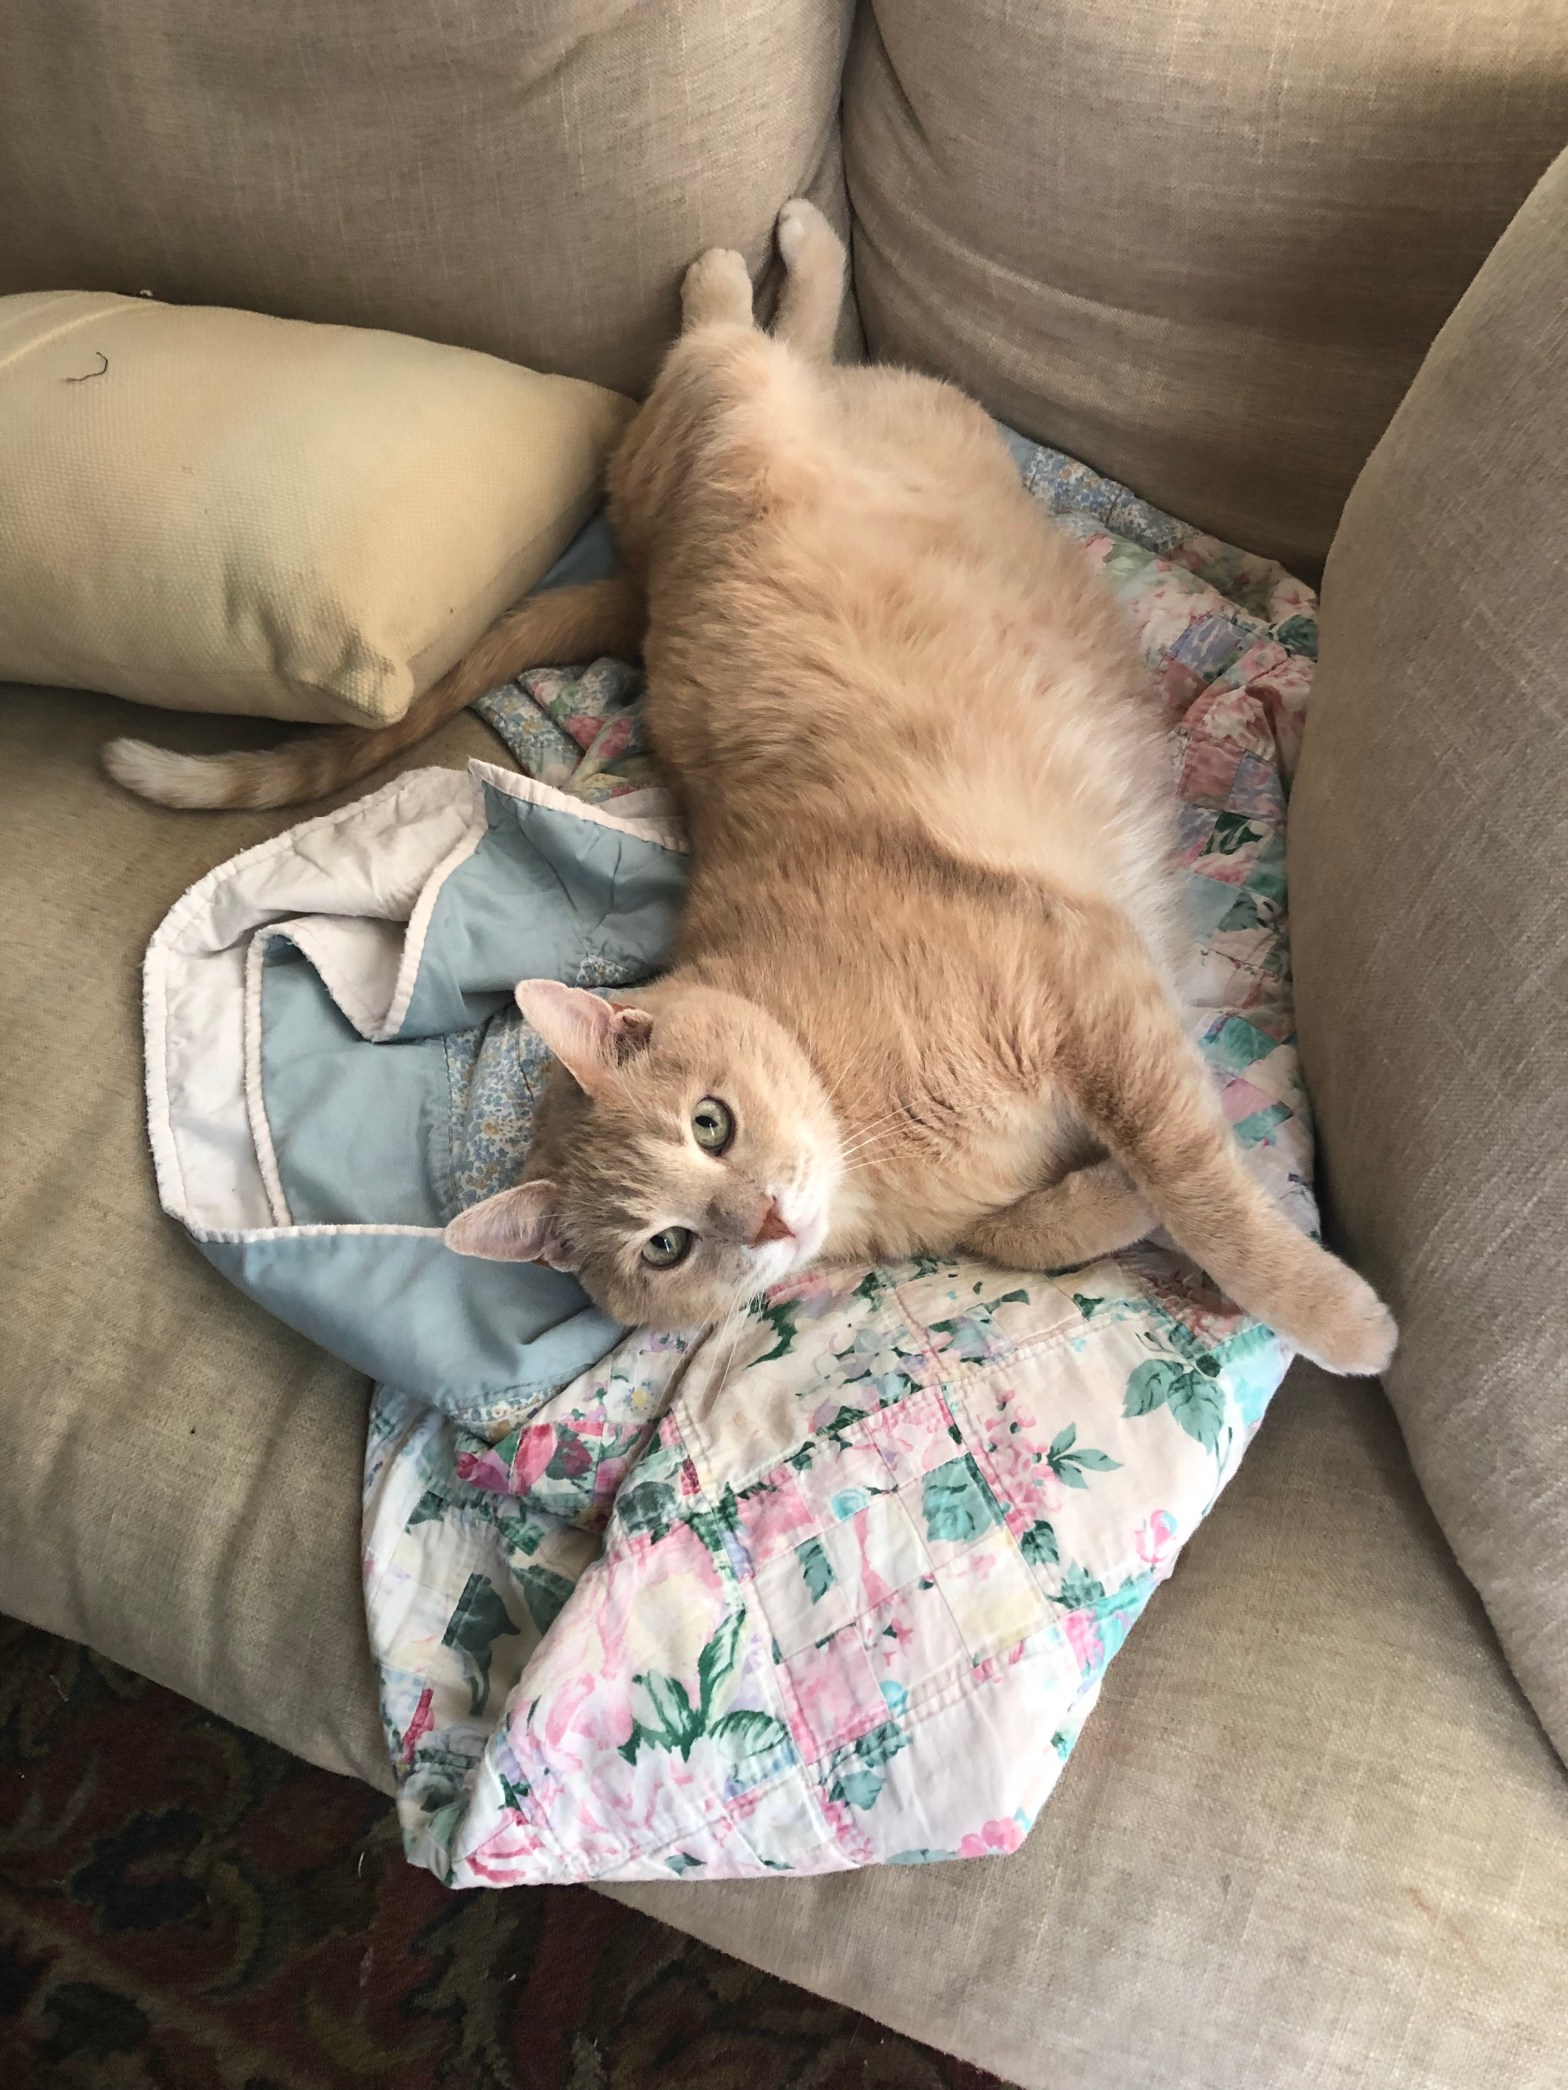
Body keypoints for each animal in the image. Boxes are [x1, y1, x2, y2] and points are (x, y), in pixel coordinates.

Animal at [106, 200, 1396, 1375]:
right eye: (668, 1246)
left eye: (710, 1122)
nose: (767, 1219)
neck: (868, 1122)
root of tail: (637, 579)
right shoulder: (1049, 1099)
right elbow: (1047, 1225)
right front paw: (1118, 1203)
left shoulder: (1086, 982)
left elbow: (1198, 1188)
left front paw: (1333, 1315)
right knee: (791, 344)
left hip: (732, 400)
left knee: (738, 332)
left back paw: (758, 251)